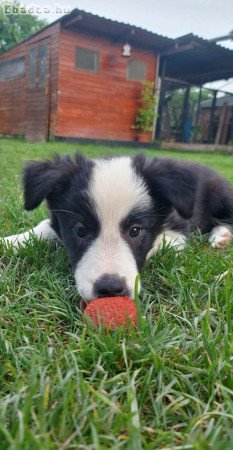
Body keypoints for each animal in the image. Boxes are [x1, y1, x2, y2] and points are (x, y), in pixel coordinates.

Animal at [2, 153, 233, 304]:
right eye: (80, 231)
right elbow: (44, 227)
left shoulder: (176, 231)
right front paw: (9, 242)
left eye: (135, 231)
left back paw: (221, 235)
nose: (110, 288)